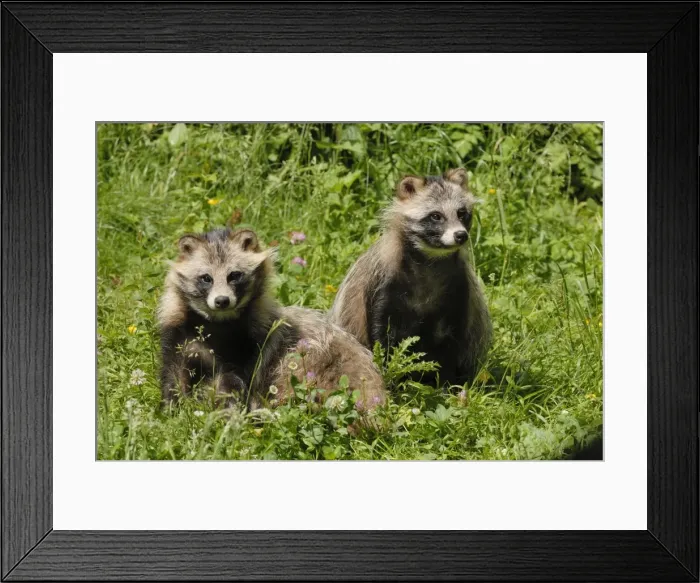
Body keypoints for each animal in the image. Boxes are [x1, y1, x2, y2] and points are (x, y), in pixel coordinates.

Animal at [157, 227, 386, 412]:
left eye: (234, 275)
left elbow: (233, 380)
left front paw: (229, 409)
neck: (218, 322)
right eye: (206, 278)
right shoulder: (179, 335)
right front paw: (173, 409)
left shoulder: (252, 343)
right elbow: (174, 374)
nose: (222, 301)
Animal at [329, 168, 492, 387]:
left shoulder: (458, 286)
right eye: (436, 216)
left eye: (461, 213)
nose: (460, 235)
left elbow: (452, 338)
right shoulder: (384, 282)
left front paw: (446, 383)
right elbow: (381, 334)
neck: (430, 260)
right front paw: (388, 375)